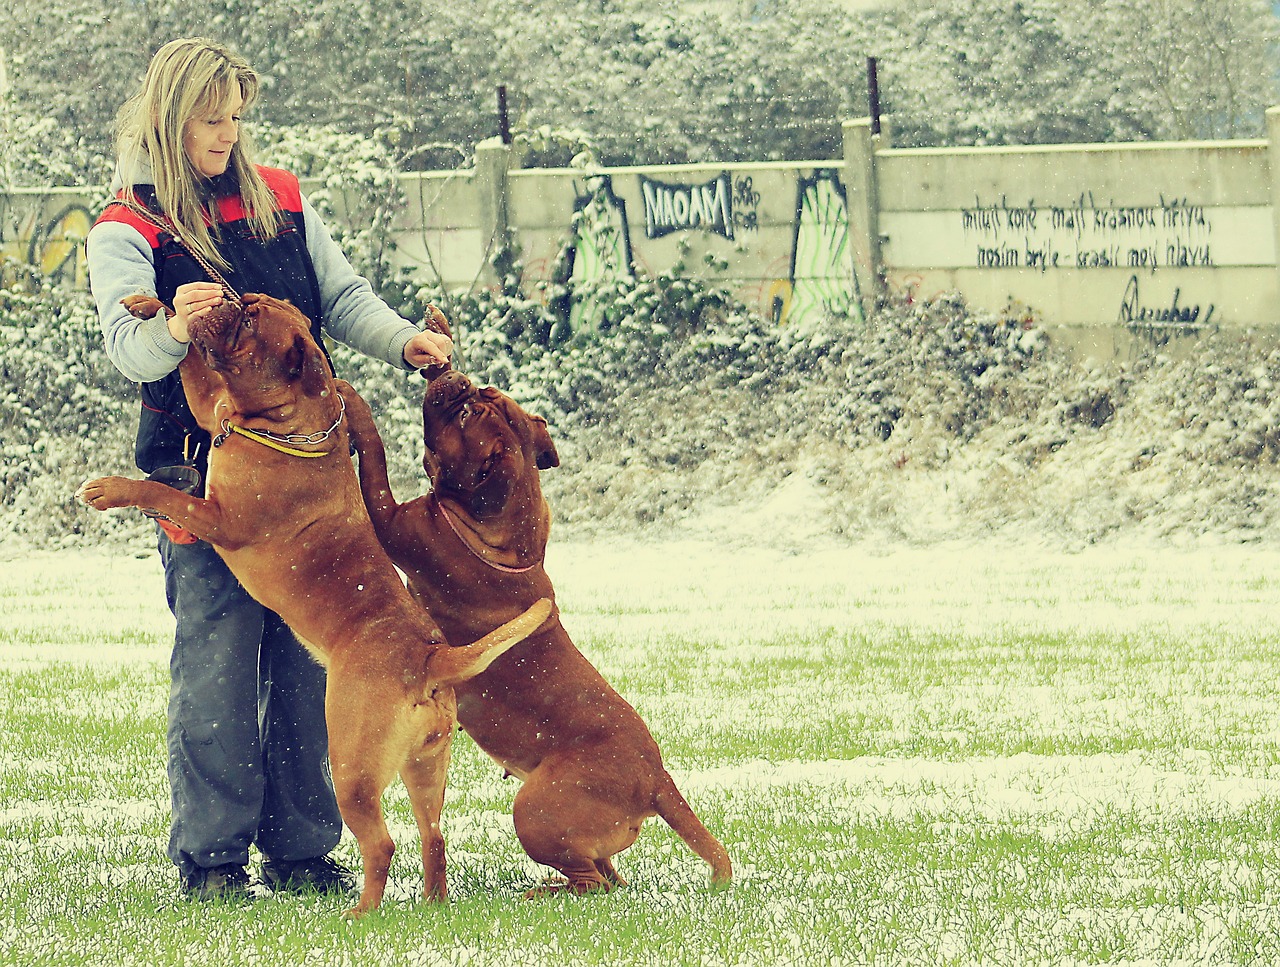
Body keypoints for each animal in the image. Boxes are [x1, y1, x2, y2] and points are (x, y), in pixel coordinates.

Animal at [78, 293, 550, 917]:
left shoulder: (217, 518)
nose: (225, 296)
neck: (291, 422)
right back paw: (430, 904)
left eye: (251, 320)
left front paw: (108, 489)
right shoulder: (212, 412)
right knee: (434, 837)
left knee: (382, 843)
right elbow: (193, 371)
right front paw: (153, 305)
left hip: (351, 765)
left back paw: (362, 913)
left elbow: (159, 489)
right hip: (425, 766)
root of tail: (430, 658)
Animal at [337, 366, 732, 896]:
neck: (505, 524)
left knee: (592, 883)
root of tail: (657, 778)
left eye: (467, 413)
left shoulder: (394, 521)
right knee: (610, 875)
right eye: (484, 392)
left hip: (536, 810)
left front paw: (353, 400)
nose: (455, 377)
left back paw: (542, 891)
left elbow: (374, 459)